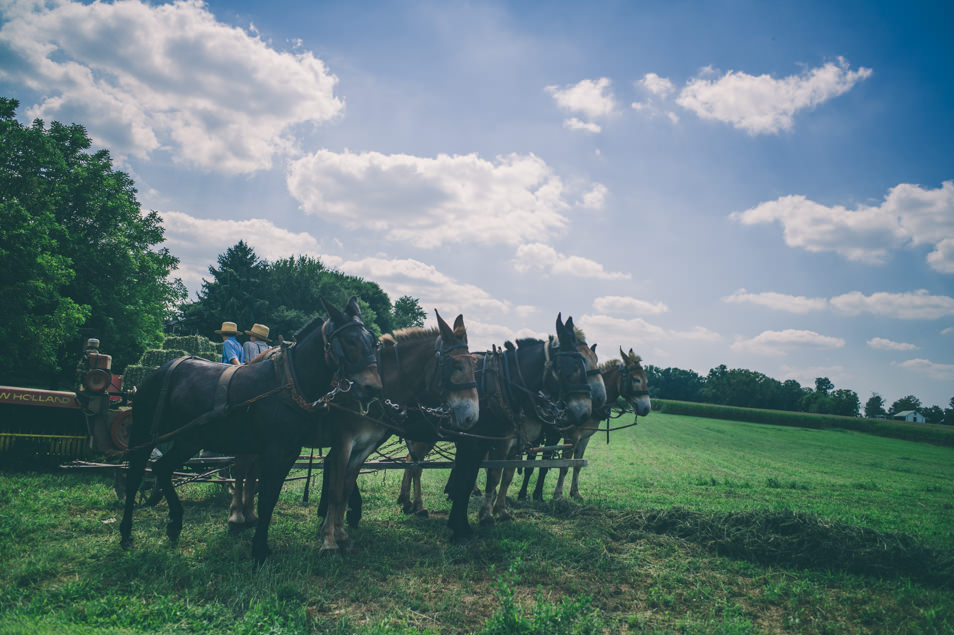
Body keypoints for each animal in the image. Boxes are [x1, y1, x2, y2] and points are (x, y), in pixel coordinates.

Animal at [121, 296, 382, 564]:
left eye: (373, 342)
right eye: (349, 341)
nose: (373, 388)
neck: (289, 383)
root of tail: (162, 368)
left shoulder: (289, 452)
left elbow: (272, 495)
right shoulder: (276, 451)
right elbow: (266, 495)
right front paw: (259, 549)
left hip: (189, 439)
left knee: (162, 468)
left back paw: (175, 522)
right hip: (143, 433)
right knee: (135, 476)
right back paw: (127, 532)